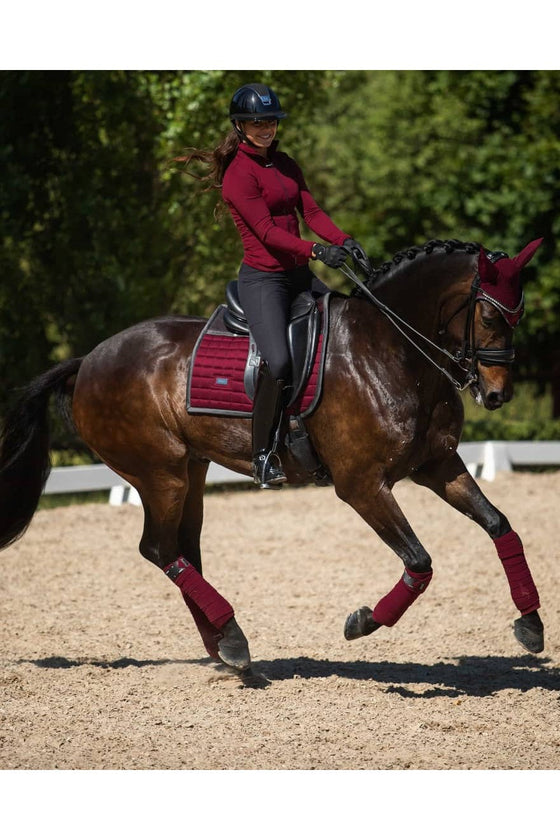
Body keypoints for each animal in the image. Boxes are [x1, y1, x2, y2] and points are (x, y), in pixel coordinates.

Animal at [0, 236, 544, 684]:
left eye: (518, 317)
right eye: (491, 316)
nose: (496, 395)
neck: (393, 351)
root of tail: (88, 361)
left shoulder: (438, 466)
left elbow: (500, 525)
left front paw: (531, 624)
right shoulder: (362, 485)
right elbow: (419, 561)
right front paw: (362, 622)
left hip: (191, 470)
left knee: (184, 549)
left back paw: (225, 647)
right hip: (159, 472)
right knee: (159, 548)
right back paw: (233, 640)